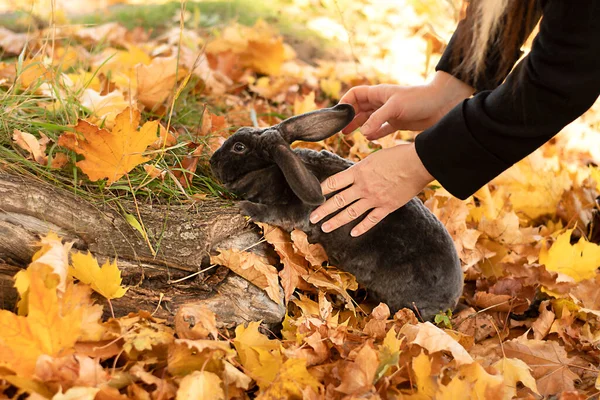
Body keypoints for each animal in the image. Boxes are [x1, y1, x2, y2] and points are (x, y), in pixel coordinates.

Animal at [211, 104, 464, 322]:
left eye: (239, 147)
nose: (213, 161)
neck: (274, 170)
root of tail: (453, 298)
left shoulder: (297, 213)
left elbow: (273, 213)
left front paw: (246, 207)